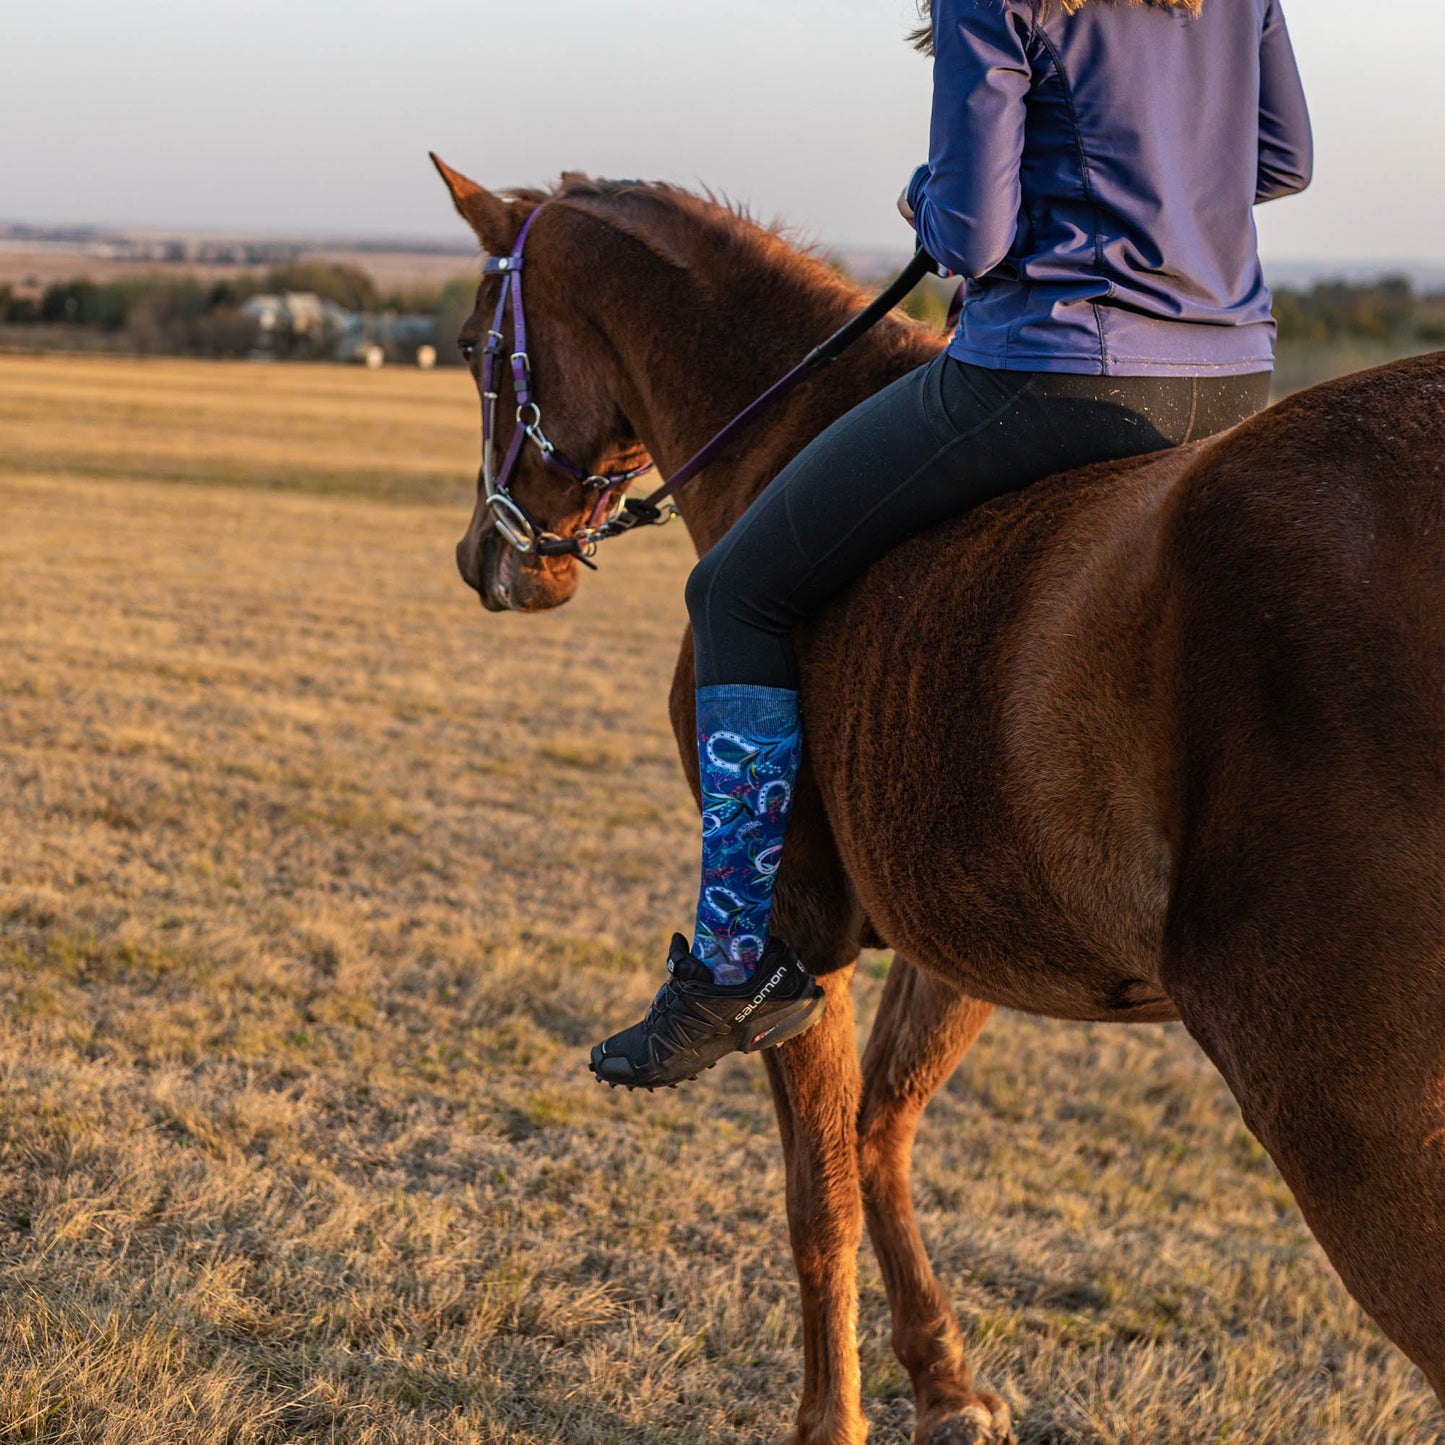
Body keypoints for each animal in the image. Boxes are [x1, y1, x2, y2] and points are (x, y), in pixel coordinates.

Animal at [431, 157, 1445, 1445]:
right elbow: (879, 1133)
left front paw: (830, 1418)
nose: (487, 558)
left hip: (1348, 1109)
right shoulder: (958, 930)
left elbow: (817, 1189)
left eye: (476, 345)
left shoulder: (799, 939)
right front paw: (946, 1382)